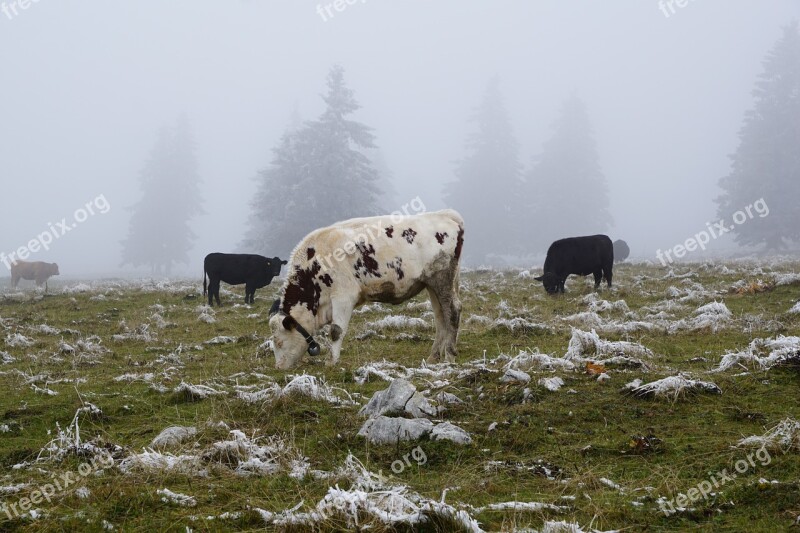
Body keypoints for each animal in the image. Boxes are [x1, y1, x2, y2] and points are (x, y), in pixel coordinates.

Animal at [268, 209, 462, 370]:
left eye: (278, 342)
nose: (278, 367)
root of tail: (445, 214)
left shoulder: (343, 296)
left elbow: (336, 331)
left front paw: (331, 362)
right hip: (431, 284)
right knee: (440, 317)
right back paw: (433, 357)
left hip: (442, 279)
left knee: (453, 310)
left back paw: (449, 356)